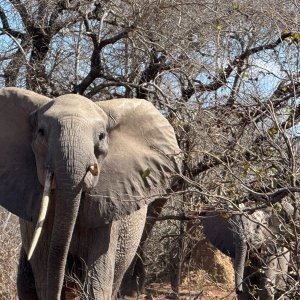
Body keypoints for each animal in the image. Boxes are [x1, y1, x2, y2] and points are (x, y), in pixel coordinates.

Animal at [0, 88, 180, 298]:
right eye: (41, 132)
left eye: (101, 136)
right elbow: (44, 276)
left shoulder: (108, 214)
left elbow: (97, 283)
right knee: (27, 282)